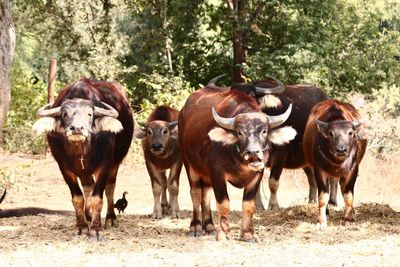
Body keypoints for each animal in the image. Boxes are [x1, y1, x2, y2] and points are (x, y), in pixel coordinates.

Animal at [32, 77, 133, 239]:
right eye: (65, 114)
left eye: (90, 114)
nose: (77, 128)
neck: (82, 149)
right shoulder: (64, 167)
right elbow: (78, 198)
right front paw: (82, 227)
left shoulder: (105, 165)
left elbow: (97, 198)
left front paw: (96, 229)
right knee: (88, 187)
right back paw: (89, 216)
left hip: (116, 162)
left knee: (110, 187)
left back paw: (110, 218)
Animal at [179, 84, 296, 243]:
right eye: (240, 132)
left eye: (264, 131)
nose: (253, 152)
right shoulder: (217, 173)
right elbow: (223, 203)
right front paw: (223, 233)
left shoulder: (257, 175)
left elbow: (248, 205)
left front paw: (248, 234)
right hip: (189, 165)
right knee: (196, 193)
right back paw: (195, 228)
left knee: (206, 194)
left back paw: (209, 227)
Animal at [302, 99, 368, 229]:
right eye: (331, 133)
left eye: (350, 133)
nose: (341, 150)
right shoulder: (319, 170)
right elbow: (323, 197)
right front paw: (321, 221)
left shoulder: (353, 170)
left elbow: (348, 195)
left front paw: (349, 219)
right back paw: (327, 213)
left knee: (343, 188)